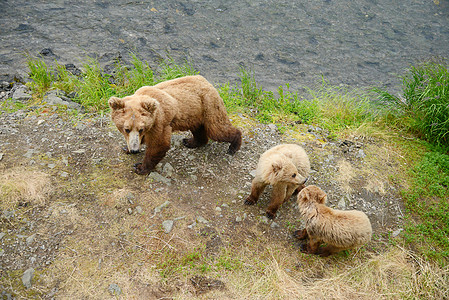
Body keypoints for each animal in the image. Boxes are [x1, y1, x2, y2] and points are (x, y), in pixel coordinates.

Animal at [109, 75, 242, 175]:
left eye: (141, 129)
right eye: (126, 129)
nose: (134, 150)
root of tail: (208, 82)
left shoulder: (159, 121)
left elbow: (159, 144)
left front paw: (140, 167)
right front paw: (127, 148)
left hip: (208, 104)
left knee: (217, 129)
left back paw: (233, 145)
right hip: (194, 113)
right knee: (199, 129)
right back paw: (190, 141)